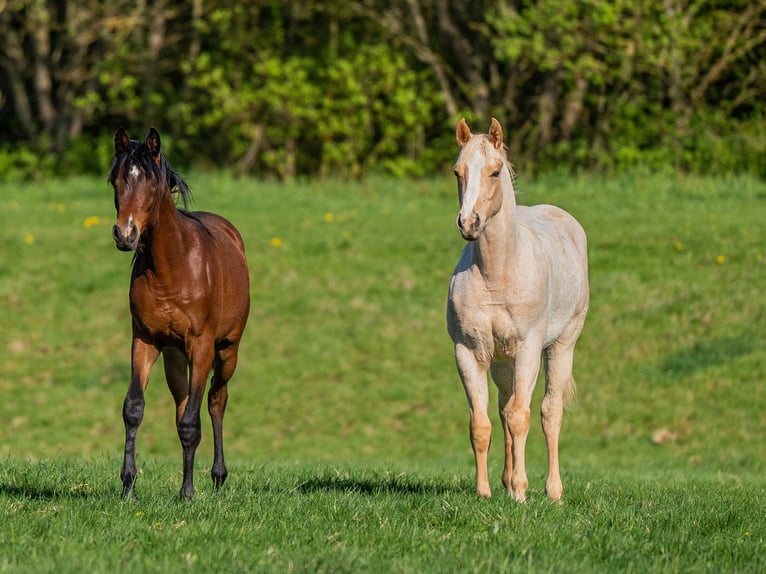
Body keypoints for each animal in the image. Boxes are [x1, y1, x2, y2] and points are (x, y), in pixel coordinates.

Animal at [109, 127, 250, 500]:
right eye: (115, 180)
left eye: (150, 182)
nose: (125, 234)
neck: (173, 266)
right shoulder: (144, 340)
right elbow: (134, 408)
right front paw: (128, 486)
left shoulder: (201, 346)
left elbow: (192, 421)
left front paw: (187, 492)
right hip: (174, 357)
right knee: (183, 404)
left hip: (226, 350)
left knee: (216, 400)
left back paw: (217, 477)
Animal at [446, 118, 589, 502]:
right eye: (457, 172)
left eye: (495, 172)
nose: (469, 223)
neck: (496, 274)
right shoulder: (468, 352)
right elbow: (481, 424)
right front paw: (485, 492)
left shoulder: (527, 350)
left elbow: (521, 417)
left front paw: (521, 494)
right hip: (500, 361)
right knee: (503, 406)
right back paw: (507, 480)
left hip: (561, 346)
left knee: (549, 412)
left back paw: (553, 492)